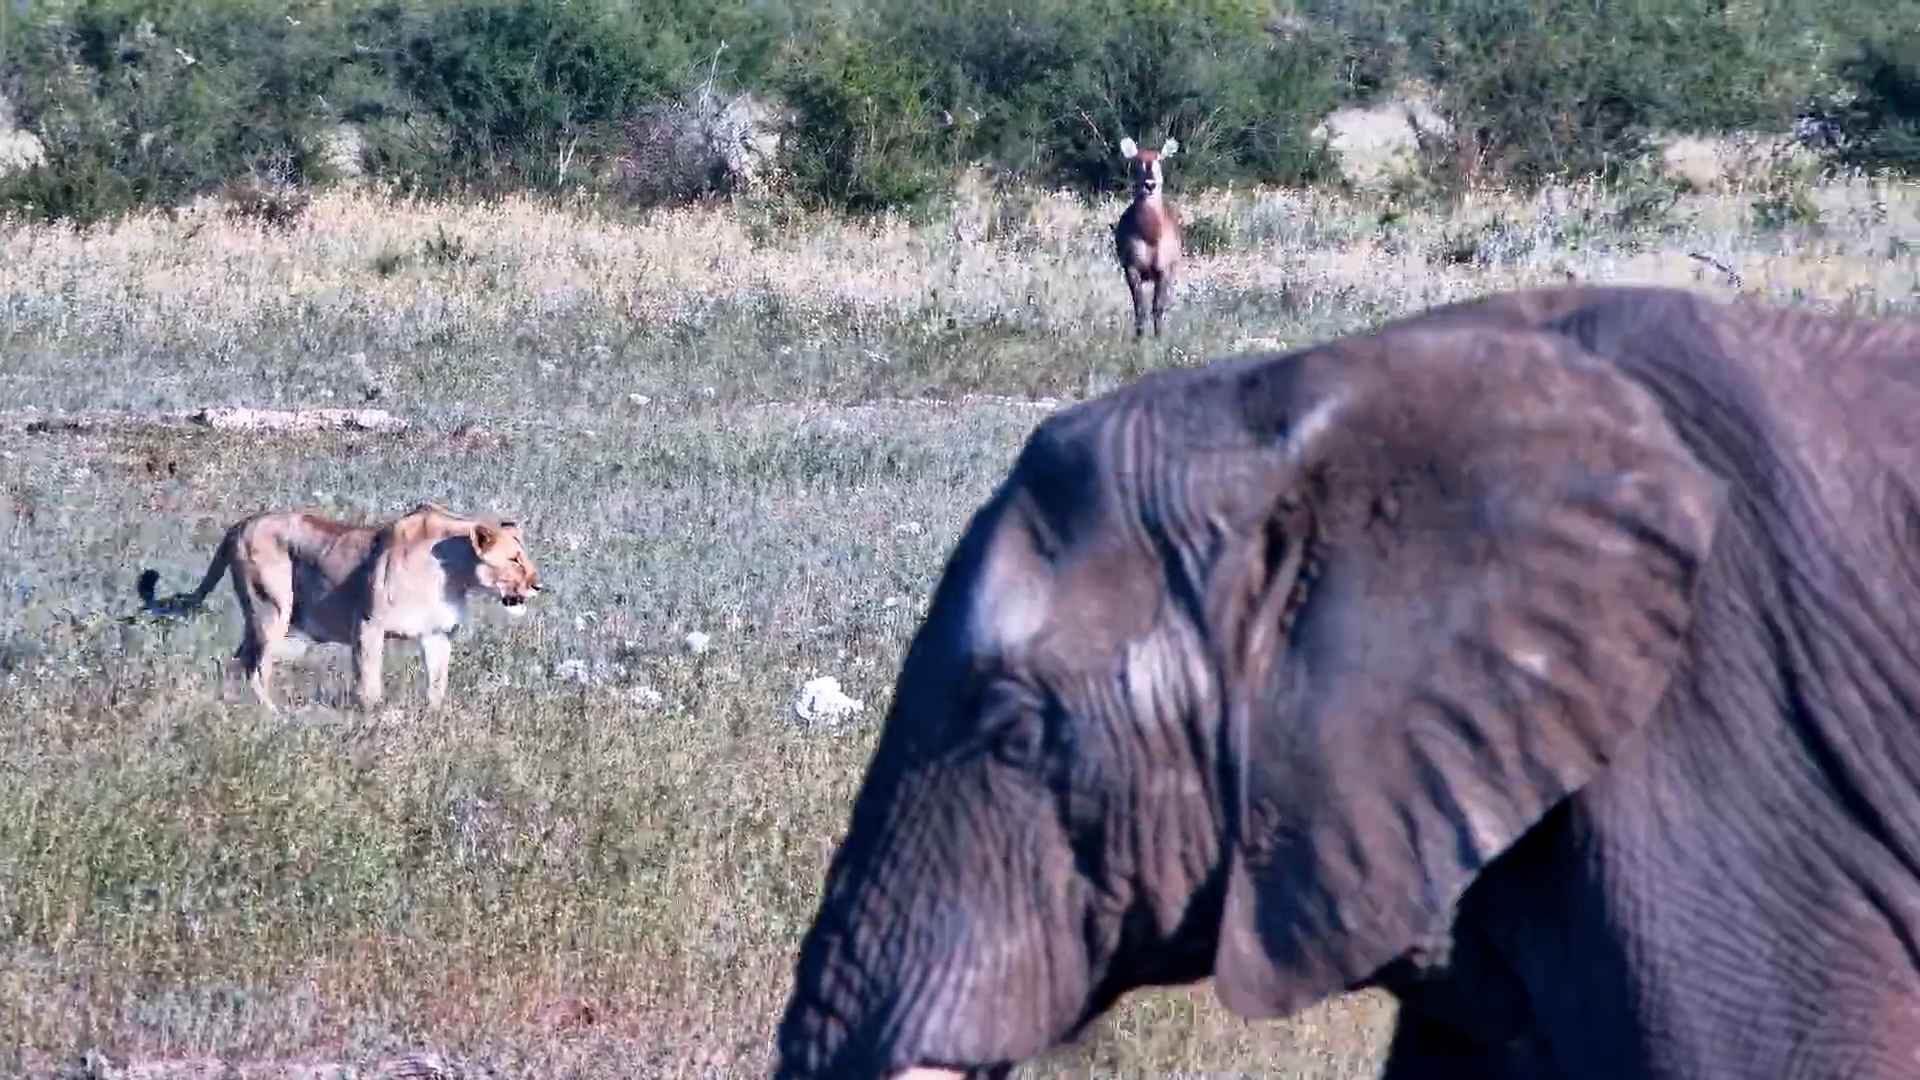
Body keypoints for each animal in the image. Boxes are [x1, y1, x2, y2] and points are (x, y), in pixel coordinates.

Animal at [138, 502, 542, 710]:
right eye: (515, 559)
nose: (538, 585)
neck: (454, 573)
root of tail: (239, 524)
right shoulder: (368, 624)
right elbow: (369, 683)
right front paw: (372, 722)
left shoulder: (437, 634)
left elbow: (437, 684)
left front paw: (435, 719)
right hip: (272, 610)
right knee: (256, 667)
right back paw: (274, 717)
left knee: (237, 662)